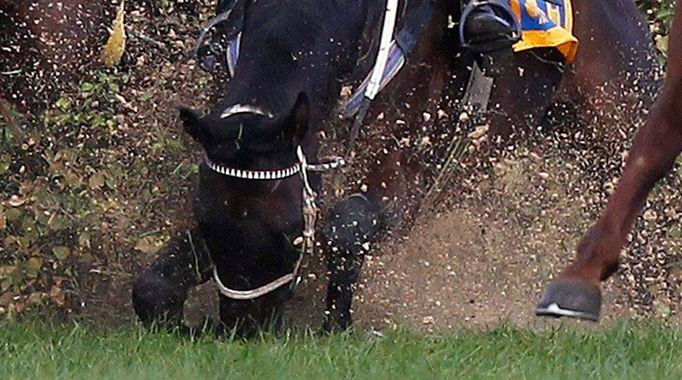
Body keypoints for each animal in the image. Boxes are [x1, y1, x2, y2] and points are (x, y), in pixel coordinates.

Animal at [130, 0, 656, 332]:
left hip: (623, 117)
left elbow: (347, 226)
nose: (243, 328)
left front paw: (336, 323)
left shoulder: (404, 176)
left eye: (288, 232)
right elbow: (153, 288)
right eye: (211, 223)